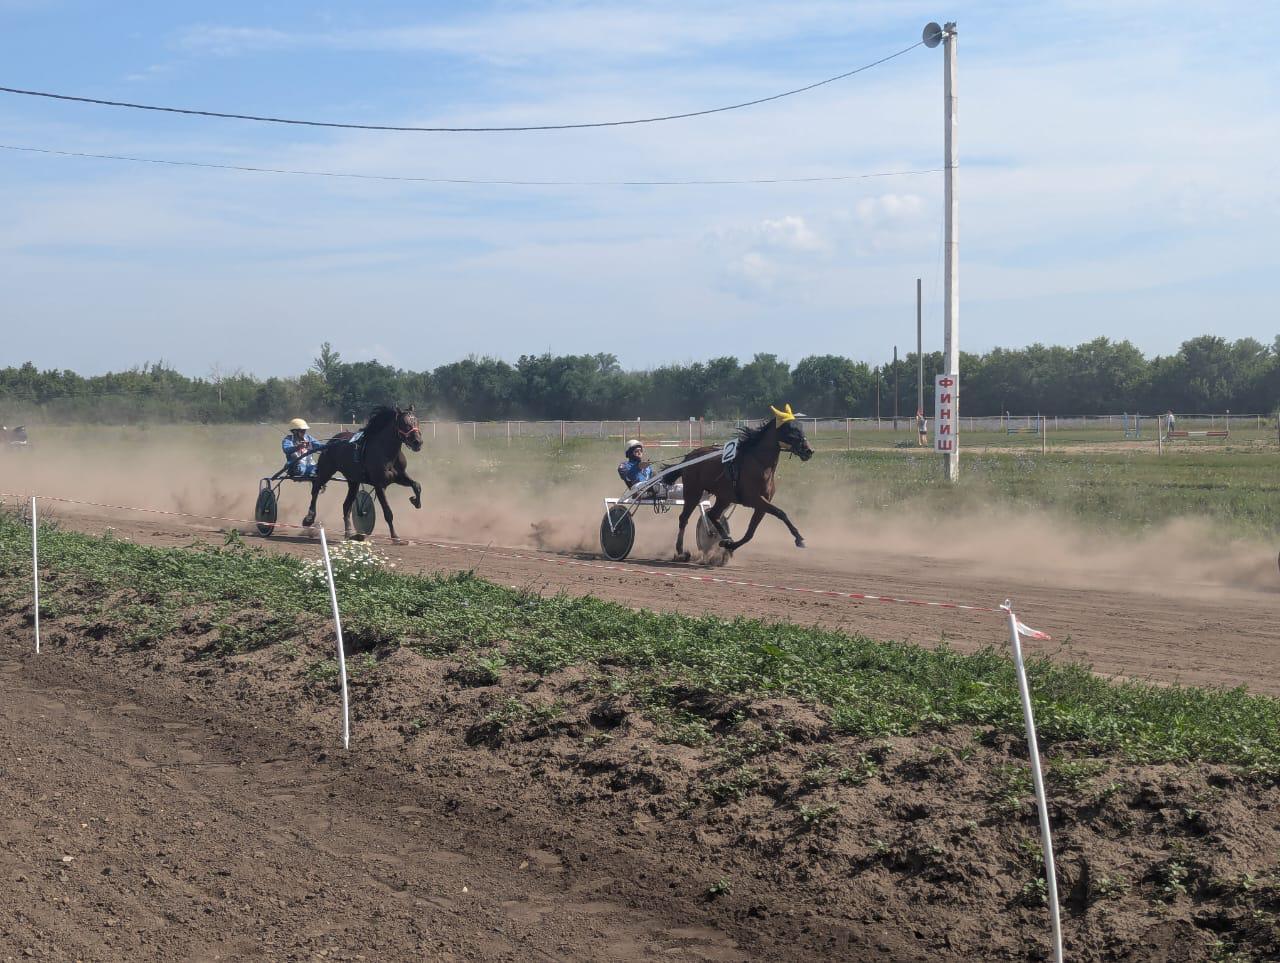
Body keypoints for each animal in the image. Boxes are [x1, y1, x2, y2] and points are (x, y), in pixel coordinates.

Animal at [299, 404, 424, 542]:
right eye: (404, 423)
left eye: (417, 421)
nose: (418, 442)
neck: (387, 452)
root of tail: (332, 441)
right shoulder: (379, 485)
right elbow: (388, 512)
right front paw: (395, 537)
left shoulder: (399, 476)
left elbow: (416, 485)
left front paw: (415, 501)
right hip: (326, 470)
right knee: (316, 488)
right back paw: (309, 518)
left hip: (353, 481)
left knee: (346, 505)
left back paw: (348, 533)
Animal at [660, 404, 808, 555]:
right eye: (791, 430)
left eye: (801, 427)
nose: (809, 451)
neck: (759, 463)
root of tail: (689, 456)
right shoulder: (754, 499)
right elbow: (780, 513)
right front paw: (799, 538)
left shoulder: (762, 503)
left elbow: (750, 533)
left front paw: (730, 545)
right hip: (693, 492)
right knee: (684, 518)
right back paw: (680, 550)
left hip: (724, 497)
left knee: (713, 514)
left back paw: (725, 538)